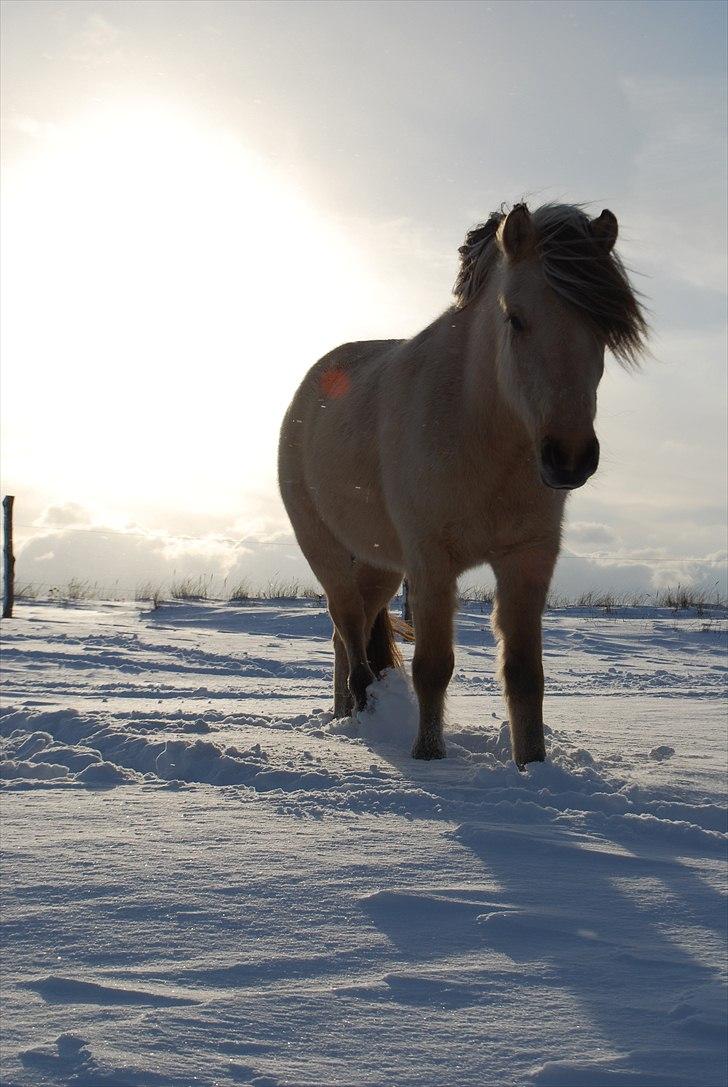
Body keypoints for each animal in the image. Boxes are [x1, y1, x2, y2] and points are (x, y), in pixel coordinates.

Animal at [280, 204, 651, 765]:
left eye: (605, 329)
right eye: (514, 317)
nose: (569, 458)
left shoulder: (527, 559)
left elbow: (525, 675)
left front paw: (531, 765)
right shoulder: (432, 563)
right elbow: (433, 666)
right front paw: (429, 757)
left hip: (380, 564)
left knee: (352, 631)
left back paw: (348, 716)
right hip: (323, 548)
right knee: (346, 624)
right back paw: (358, 718)